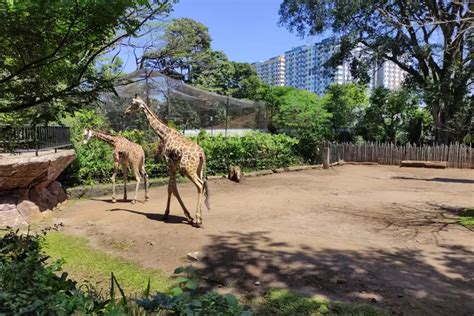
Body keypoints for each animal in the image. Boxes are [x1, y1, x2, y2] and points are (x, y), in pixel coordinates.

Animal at [125, 95, 208, 226]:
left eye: (134, 103)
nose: (126, 111)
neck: (163, 134)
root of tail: (201, 154)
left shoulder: (169, 163)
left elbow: (171, 189)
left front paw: (167, 214)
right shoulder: (173, 164)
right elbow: (172, 188)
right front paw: (186, 215)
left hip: (187, 168)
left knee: (199, 185)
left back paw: (197, 219)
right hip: (199, 169)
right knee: (203, 184)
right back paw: (200, 217)